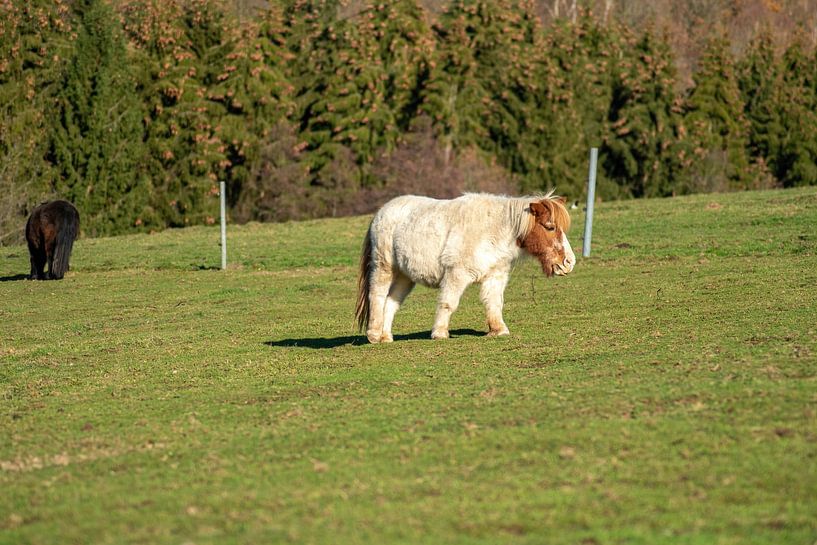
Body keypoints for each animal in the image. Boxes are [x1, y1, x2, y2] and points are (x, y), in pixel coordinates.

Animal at [355, 191, 575, 343]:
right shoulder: (456, 274)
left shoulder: (495, 276)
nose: (569, 262)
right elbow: (448, 303)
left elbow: (494, 303)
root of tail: (380, 213)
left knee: (391, 301)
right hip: (384, 267)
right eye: (550, 227)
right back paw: (373, 334)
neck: (495, 230)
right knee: (377, 296)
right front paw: (440, 333)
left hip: (404, 276)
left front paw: (498, 330)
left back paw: (385, 337)